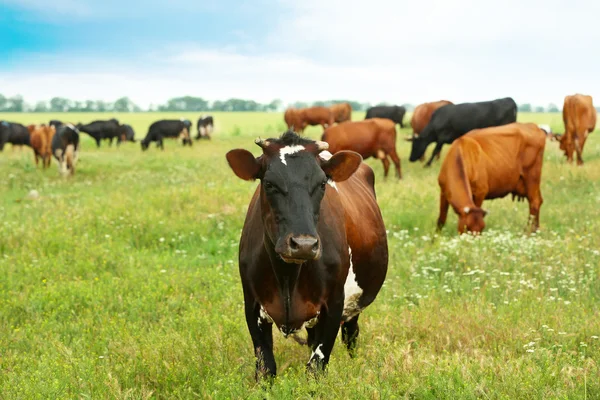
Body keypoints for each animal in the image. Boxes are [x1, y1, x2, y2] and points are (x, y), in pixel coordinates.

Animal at [226, 130, 390, 378]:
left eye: (322, 183)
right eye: (269, 183)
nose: (304, 244)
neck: (287, 276)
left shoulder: (334, 305)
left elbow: (316, 367)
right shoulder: (252, 304)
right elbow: (266, 368)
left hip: (354, 305)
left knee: (351, 334)